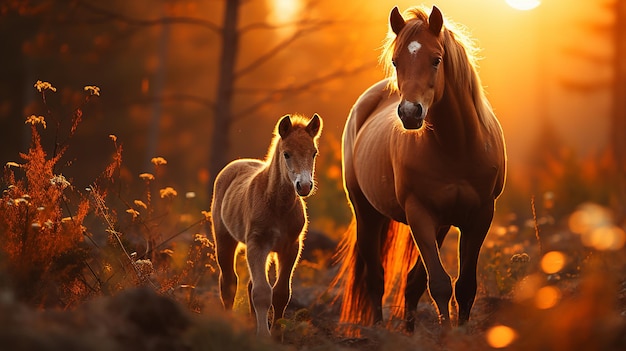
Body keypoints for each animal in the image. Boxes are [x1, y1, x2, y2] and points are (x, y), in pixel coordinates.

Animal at [212, 114, 324, 336]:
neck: (277, 205)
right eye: (286, 154)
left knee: (248, 285)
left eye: (314, 153)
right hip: (224, 239)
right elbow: (262, 292)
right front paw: (263, 335)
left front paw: (278, 334)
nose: (304, 186)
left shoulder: (290, 247)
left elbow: (281, 293)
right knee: (229, 282)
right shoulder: (257, 244)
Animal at [334, 4, 504, 332]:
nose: (410, 113)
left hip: (442, 224)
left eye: (436, 59)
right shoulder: (420, 214)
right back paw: (379, 331)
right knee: (376, 279)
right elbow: (439, 284)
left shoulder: (479, 216)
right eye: (395, 61)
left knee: (411, 284)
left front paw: (460, 333)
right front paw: (447, 334)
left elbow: (465, 286)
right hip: (366, 213)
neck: (457, 147)